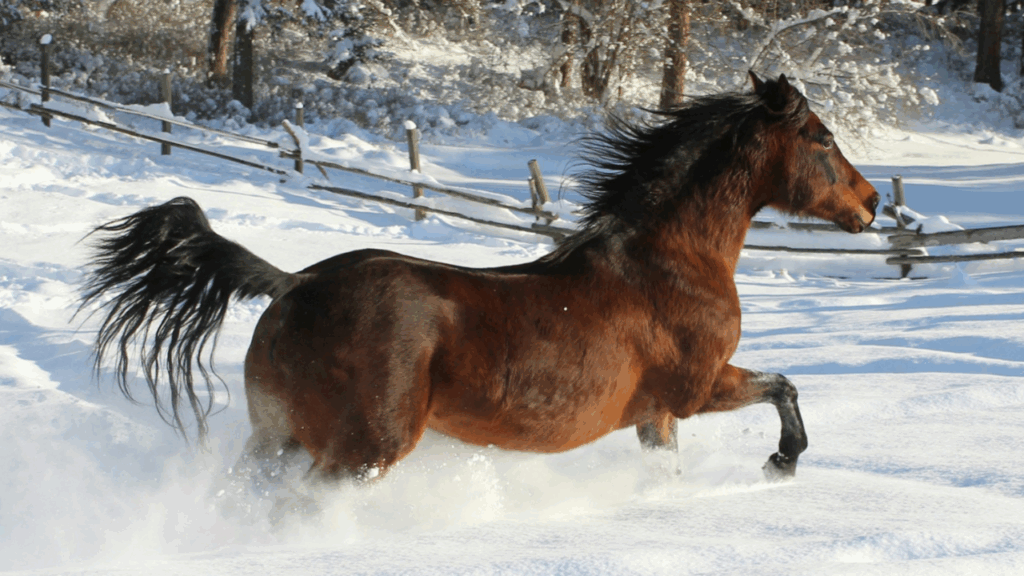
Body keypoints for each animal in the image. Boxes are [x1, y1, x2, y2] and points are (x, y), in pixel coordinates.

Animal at [79, 72, 878, 490]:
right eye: (821, 137)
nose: (871, 204)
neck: (667, 265)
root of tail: (290, 285)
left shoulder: (657, 415)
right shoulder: (695, 385)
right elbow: (784, 385)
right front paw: (782, 462)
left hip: (276, 437)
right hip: (360, 450)